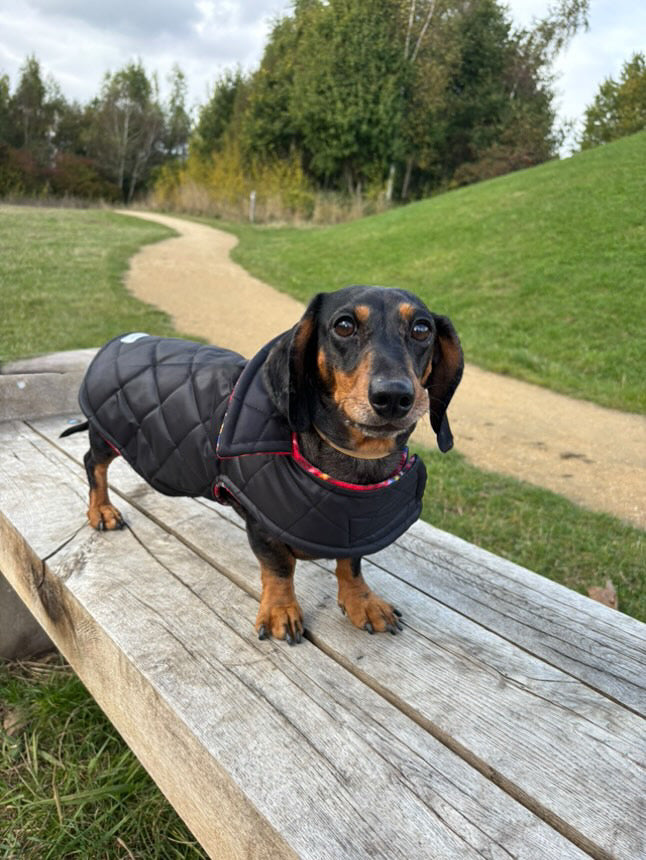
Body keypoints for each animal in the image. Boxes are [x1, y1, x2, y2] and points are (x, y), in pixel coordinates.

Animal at [62, 288, 466, 644]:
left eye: (422, 329)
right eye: (344, 325)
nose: (394, 396)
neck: (351, 462)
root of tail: (121, 342)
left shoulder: (355, 527)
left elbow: (351, 563)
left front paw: (362, 602)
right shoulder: (260, 523)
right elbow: (279, 568)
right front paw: (280, 612)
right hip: (106, 434)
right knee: (92, 464)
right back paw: (101, 511)